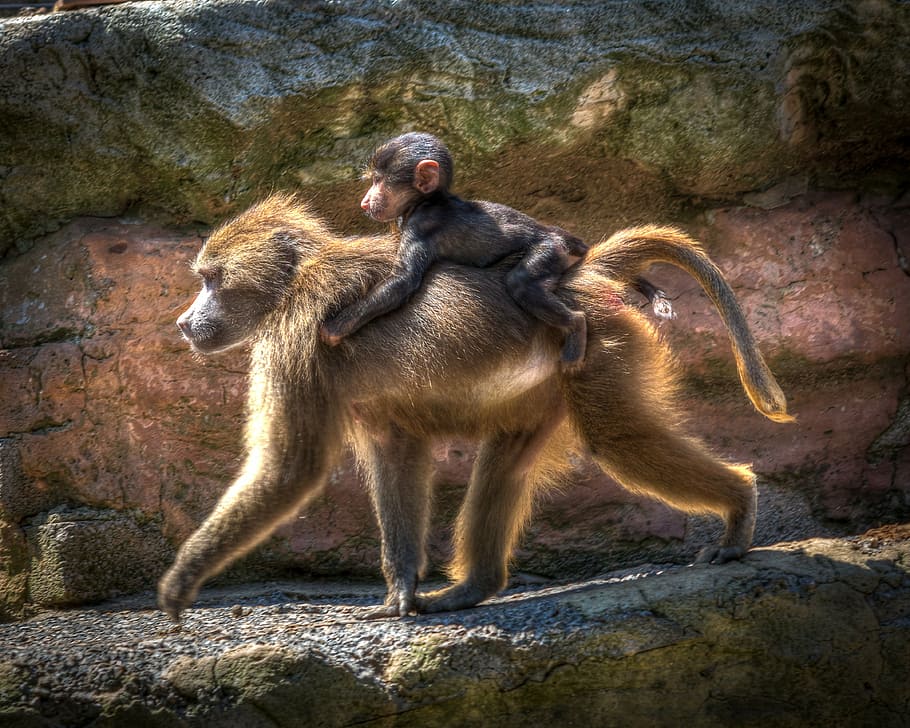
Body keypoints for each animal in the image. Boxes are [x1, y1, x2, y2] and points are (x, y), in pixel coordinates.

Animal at [159, 192, 792, 622]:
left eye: (212, 280)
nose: (186, 323)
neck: (296, 280)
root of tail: (582, 278)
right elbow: (395, 454)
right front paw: (400, 591)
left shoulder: (294, 339)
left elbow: (290, 468)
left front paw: (180, 582)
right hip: (551, 384)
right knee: (508, 461)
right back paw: (472, 589)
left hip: (598, 350)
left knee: (618, 441)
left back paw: (739, 510)